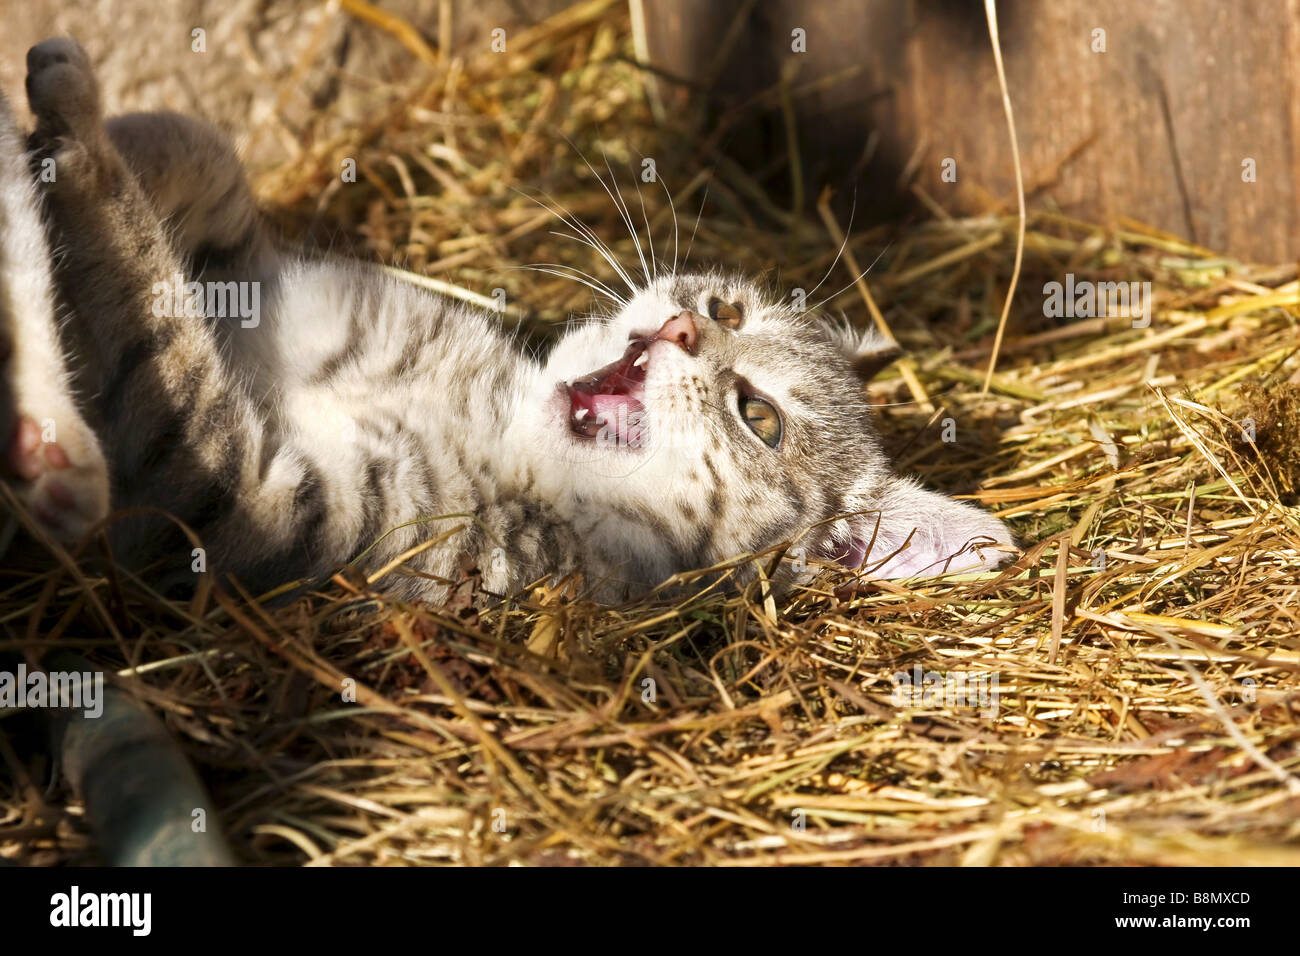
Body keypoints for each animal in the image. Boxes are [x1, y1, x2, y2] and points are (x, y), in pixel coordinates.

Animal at [0, 39, 1013, 606]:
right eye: (727, 308)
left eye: (757, 417)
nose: (683, 331)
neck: (491, 414)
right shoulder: (259, 281)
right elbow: (208, 161)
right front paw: (117, 129)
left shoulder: (250, 500)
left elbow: (153, 321)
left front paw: (80, 133)